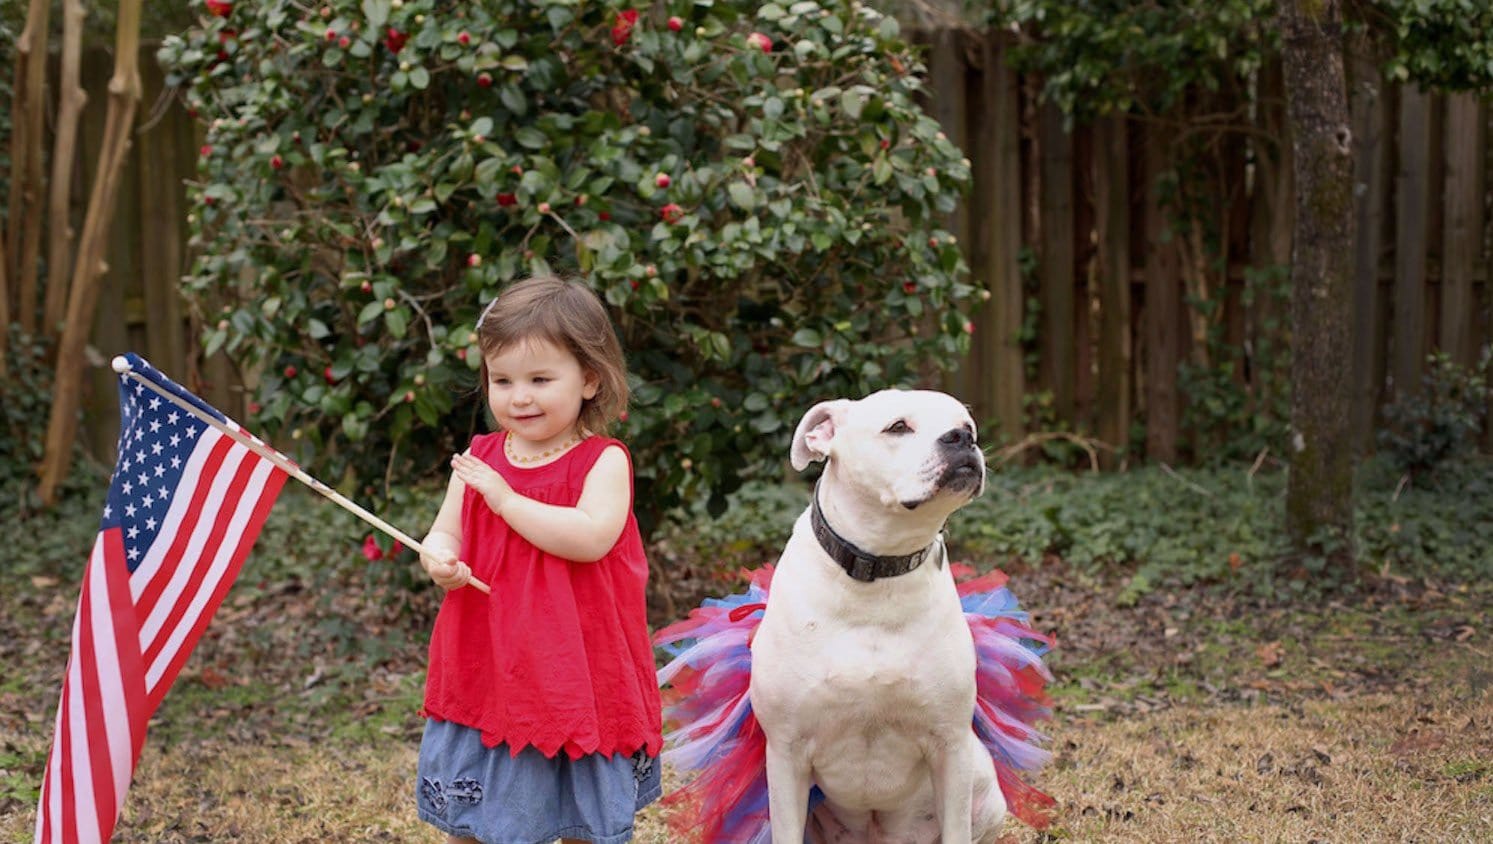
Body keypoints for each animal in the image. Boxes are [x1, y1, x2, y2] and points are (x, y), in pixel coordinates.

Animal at [752, 391, 1009, 842]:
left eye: (968, 426)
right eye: (898, 427)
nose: (961, 438)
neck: (878, 571)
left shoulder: (951, 746)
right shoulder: (785, 751)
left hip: (985, 790)